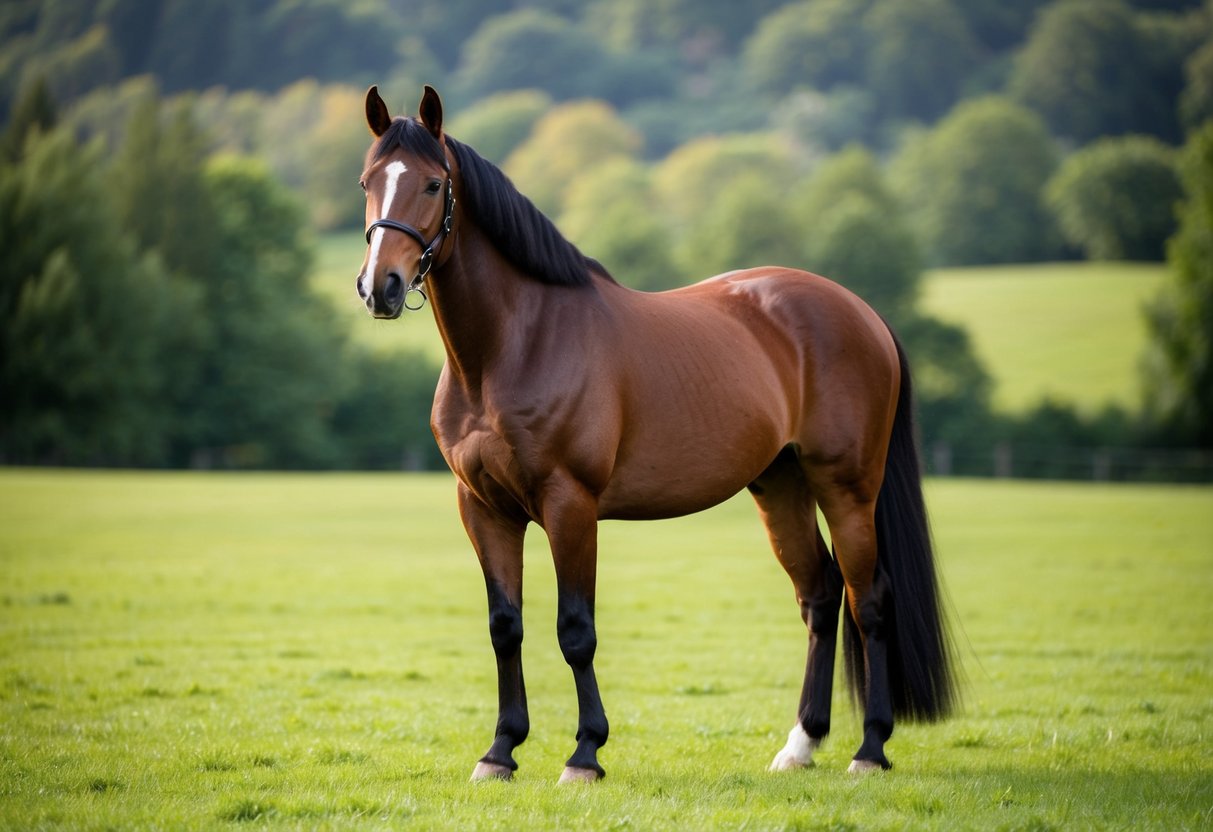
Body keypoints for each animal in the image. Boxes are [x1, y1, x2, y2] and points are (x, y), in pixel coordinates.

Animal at [354, 85, 956, 783]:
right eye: (367, 181)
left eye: (432, 183)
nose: (380, 286)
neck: (514, 345)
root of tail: (862, 312)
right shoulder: (483, 508)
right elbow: (506, 626)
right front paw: (500, 751)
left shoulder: (569, 504)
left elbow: (575, 630)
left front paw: (585, 754)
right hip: (780, 484)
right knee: (820, 594)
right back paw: (801, 744)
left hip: (848, 487)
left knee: (870, 600)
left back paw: (870, 748)